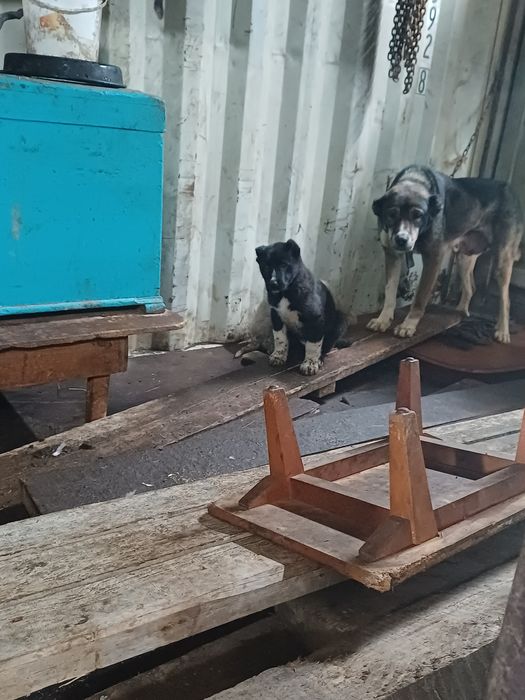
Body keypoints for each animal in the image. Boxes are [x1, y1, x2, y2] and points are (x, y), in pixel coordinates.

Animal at [254, 239, 348, 375]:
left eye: (284, 265)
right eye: (266, 266)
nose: (273, 283)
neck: (285, 293)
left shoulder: (315, 318)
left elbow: (313, 344)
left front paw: (310, 363)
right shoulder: (276, 315)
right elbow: (280, 338)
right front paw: (278, 355)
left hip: (341, 320)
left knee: (325, 346)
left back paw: (319, 359)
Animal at [368, 165, 523, 343]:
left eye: (418, 216)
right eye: (391, 214)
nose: (402, 240)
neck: (415, 180)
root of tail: (511, 191)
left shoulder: (433, 258)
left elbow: (420, 297)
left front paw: (408, 325)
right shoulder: (392, 254)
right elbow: (390, 291)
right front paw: (383, 319)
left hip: (502, 261)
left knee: (506, 299)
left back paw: (502, 331)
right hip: (464, 258)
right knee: (471, 287)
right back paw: (460, 312)